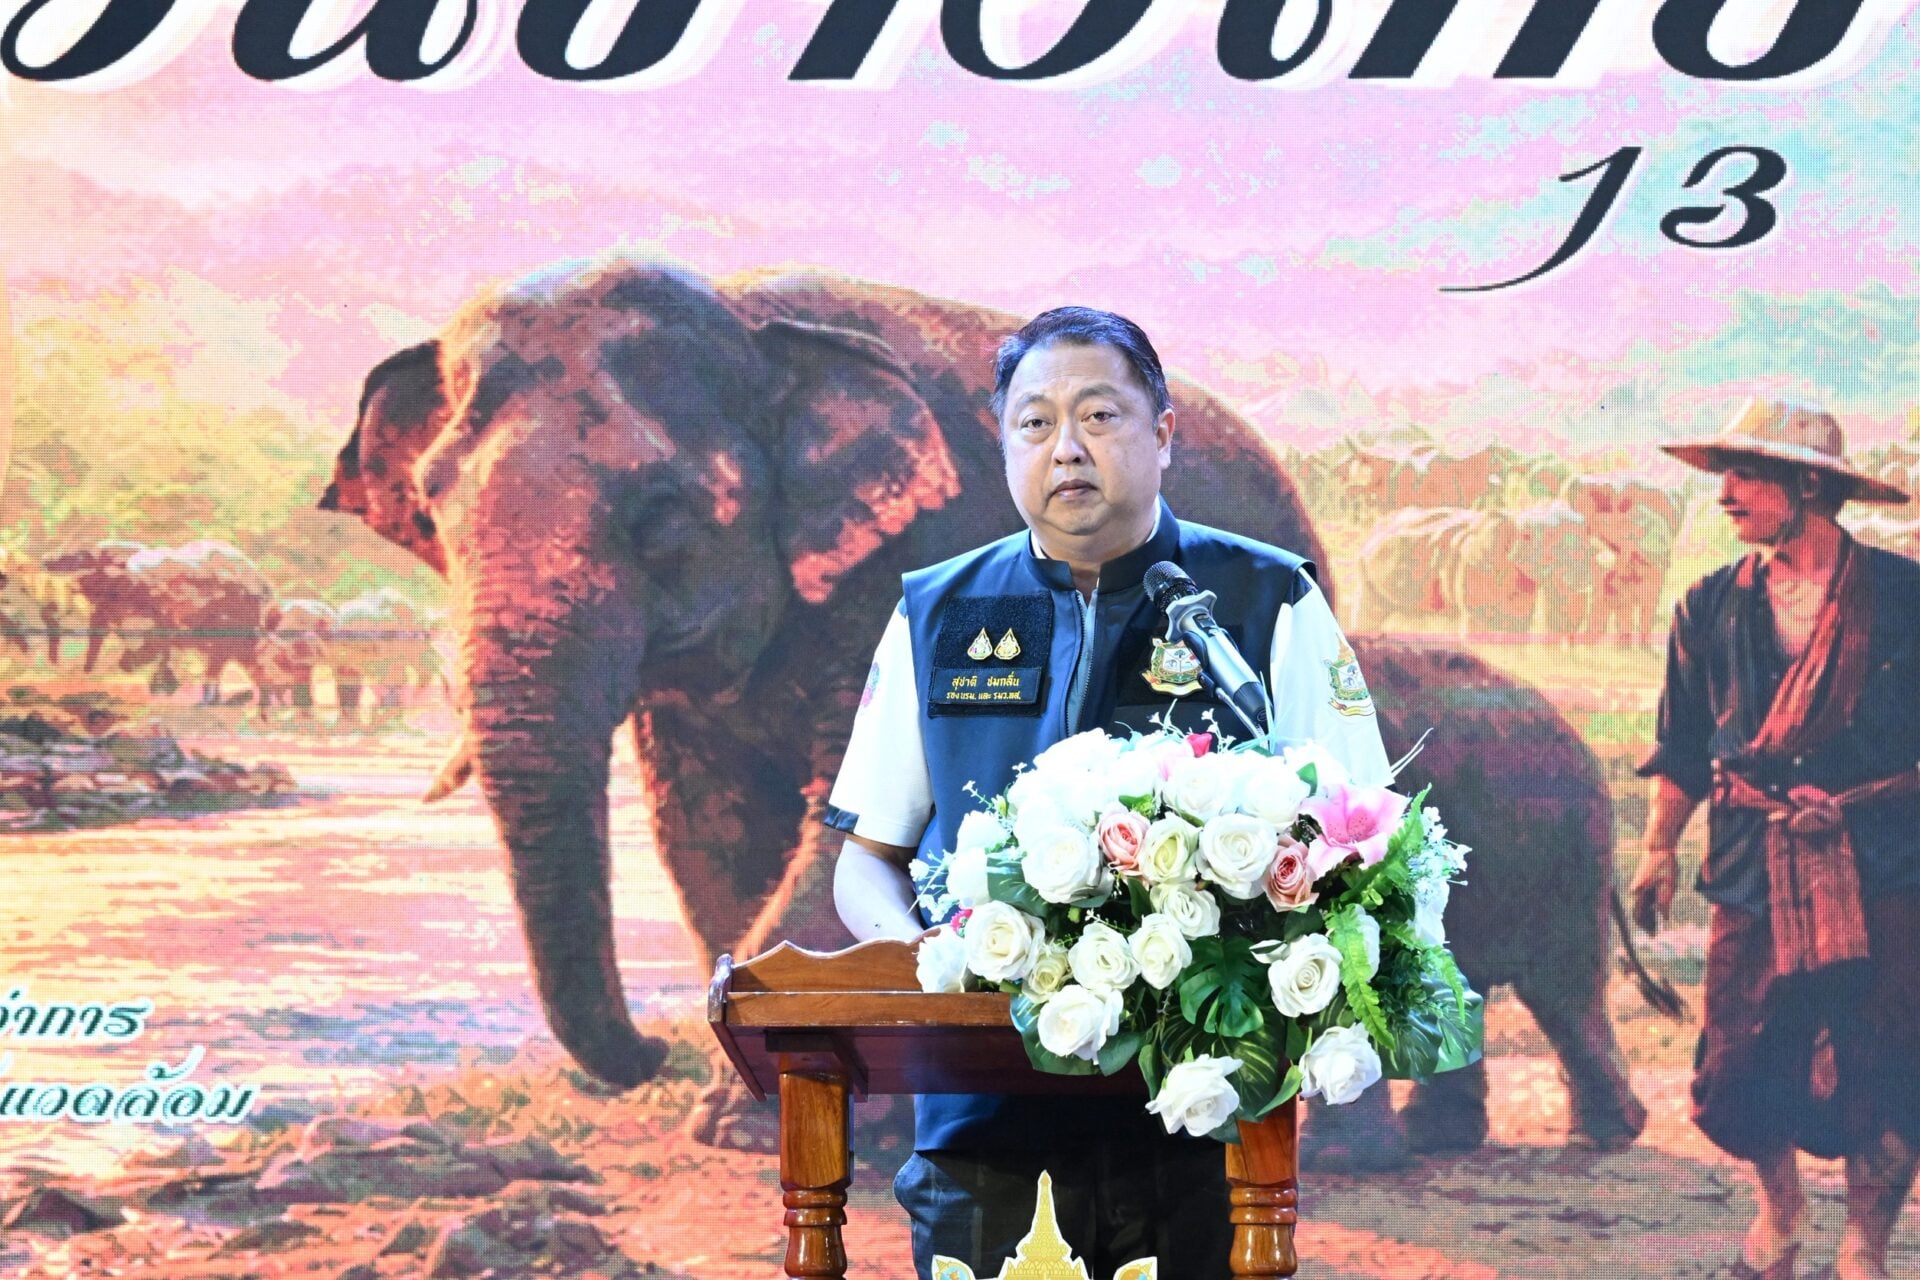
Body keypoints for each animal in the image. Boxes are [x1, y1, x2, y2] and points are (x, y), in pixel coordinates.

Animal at [319, 259, 1662, 1155]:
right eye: (431, 509)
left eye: (661, 513)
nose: (643, 1055)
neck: (757, 327)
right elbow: (715, 831)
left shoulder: (888, 560)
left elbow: (834, 831)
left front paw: (732, 1114)